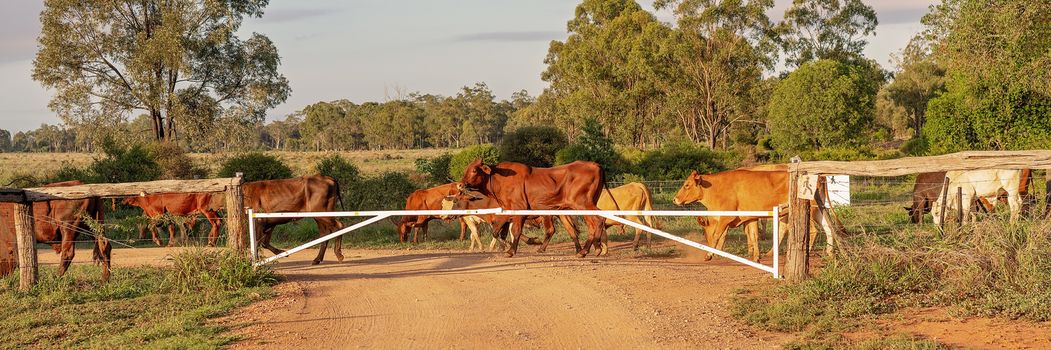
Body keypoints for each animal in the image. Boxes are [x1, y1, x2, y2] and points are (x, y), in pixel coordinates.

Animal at [460, 157, 609, 256]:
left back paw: (590, 249)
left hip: (582, 204)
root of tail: (595, 165)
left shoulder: (519, 209)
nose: (461, 185)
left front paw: (512, 250)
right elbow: (497, 232)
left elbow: (515, 231)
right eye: (466, 169)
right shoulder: (506, 211)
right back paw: (589, 249)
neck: (499, 180)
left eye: (474, 170)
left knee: (598, 220)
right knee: (588, 225)